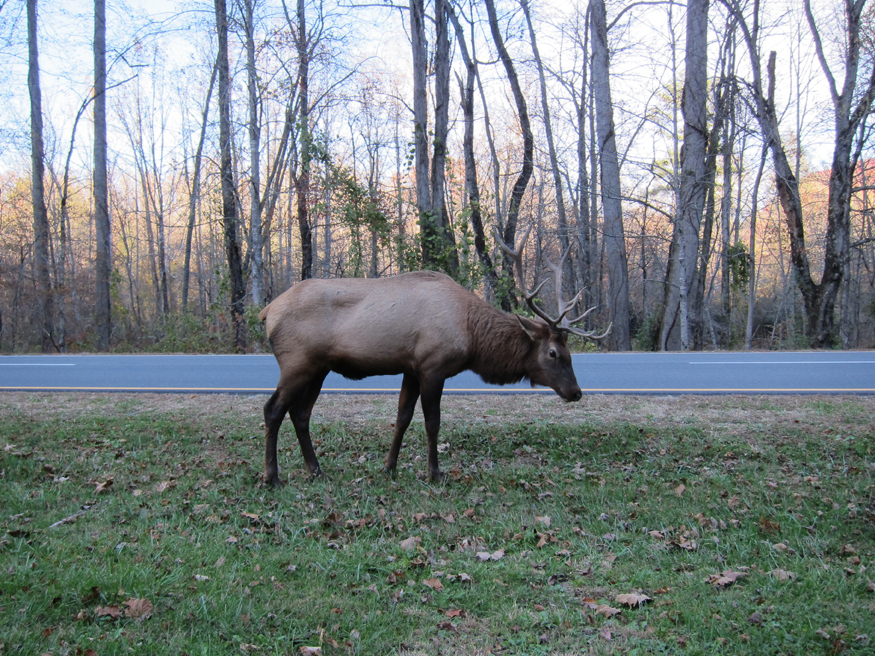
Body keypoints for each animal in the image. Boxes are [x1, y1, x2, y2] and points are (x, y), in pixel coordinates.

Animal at [256, 226, 604, 486]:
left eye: (569, 351)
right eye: (553, 353)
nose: (576, 392)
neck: (472, 336)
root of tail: (267, 311)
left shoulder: (411, 368)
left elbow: (402, 418)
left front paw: (389, 467)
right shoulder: (432, 366)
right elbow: (432, 422)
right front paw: (434, 472)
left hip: (319, 368)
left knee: (301, 414)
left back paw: (316, 470)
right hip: (297, 362)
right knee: (273, 409)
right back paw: (272, 477)